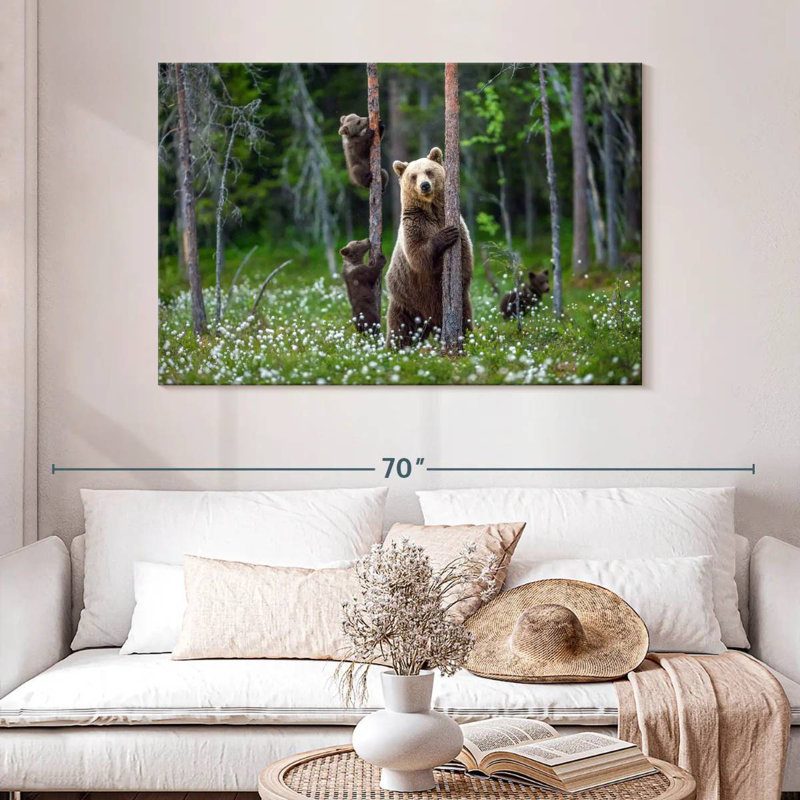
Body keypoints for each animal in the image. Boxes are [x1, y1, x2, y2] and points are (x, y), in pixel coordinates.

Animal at [385, 147, 474, 349]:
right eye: (413, 176)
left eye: (429, 171)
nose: (424, 185)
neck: (431, 210)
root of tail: (429, 322)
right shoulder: (414, 225)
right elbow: (418, 255)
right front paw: (445, 235)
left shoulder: (458, 224)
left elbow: (465, 257)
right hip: (406, 300)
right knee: (400, 329)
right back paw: (393, 349)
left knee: (465, 318)